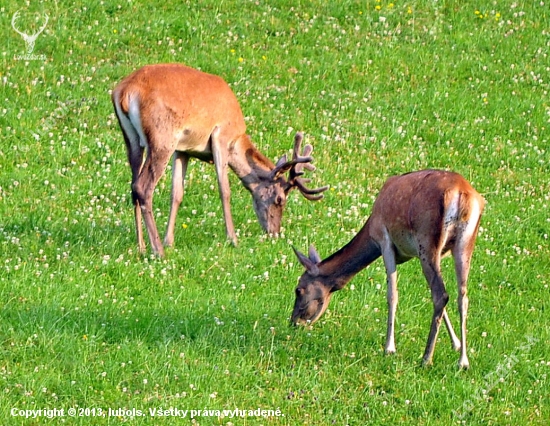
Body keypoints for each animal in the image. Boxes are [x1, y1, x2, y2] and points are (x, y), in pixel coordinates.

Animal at [111, 63, 328, 256]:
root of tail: (124, 92)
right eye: (280, 199)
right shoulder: (221, 136)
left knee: (133, 185)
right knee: (143, 187)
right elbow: (224, 189)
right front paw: (232, 239)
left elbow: (177, 193)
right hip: (162, 138)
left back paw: (141, 247)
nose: (274, 232)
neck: (238, 139)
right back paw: (157, 250)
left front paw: (169, 240)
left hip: (132, 139)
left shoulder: (183, 149)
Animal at [294, 170, 488, 370]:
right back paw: (463, 361)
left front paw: (389, 348)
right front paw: (455, 343)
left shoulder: (384, 240)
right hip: (463, 244)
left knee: (441, 294)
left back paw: (426, 358)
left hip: (428, 241)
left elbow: (392, 294)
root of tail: (462, 194)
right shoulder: (418, 253)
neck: (370, 229)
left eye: (298, 289)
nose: (294, 322)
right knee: (461, 296)